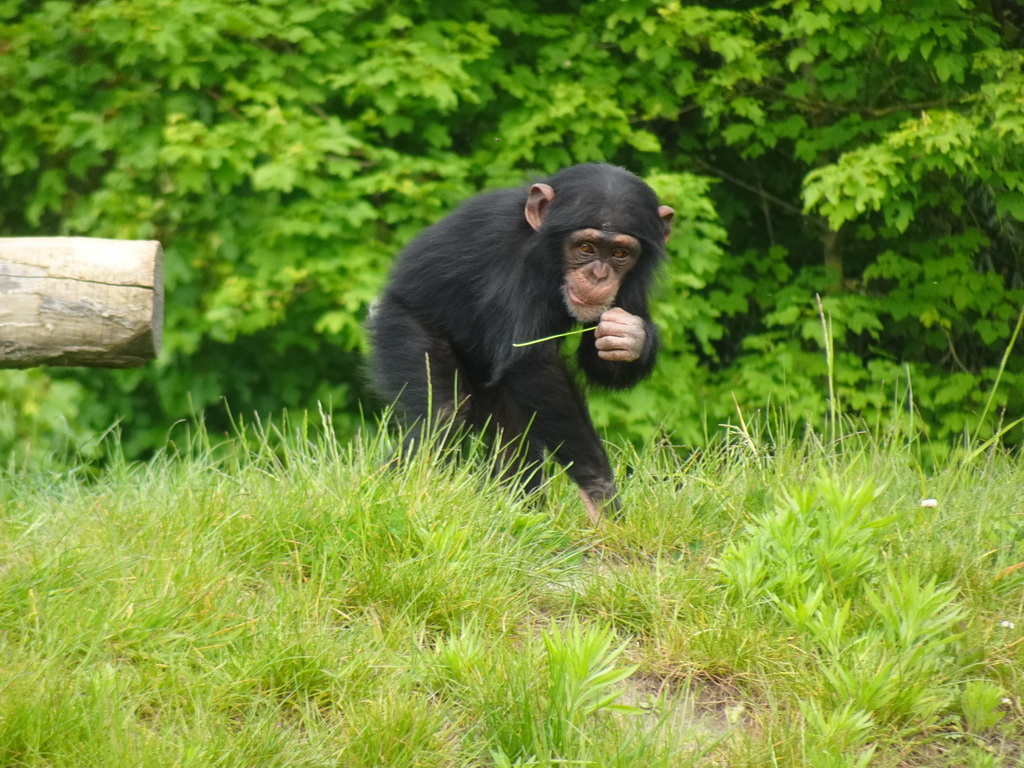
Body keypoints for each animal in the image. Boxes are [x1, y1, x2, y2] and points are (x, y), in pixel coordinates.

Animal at [366, 163, 671, 524]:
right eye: (585, 248)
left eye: (620, 253)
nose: (599, 275)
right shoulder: (517, 262)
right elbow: (531, 363)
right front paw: (601, 495)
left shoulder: (633, 282)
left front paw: (630, 335)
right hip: (398, 321)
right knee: (443, 416)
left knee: (513, 439)